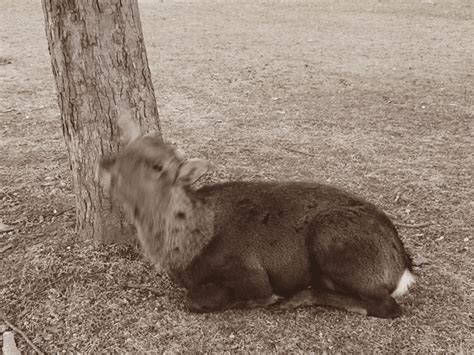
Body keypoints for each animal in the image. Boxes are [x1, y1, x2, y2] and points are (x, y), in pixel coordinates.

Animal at [97, 118, 414, 318]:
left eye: (158, 165)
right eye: (128, 147)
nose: (105, 164)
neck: (185, 252)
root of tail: (403, 268)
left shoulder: (250, 272)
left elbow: (199, 299)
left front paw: (260, 301)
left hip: (332, 238)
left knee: (385, 306)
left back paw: (299, 297)